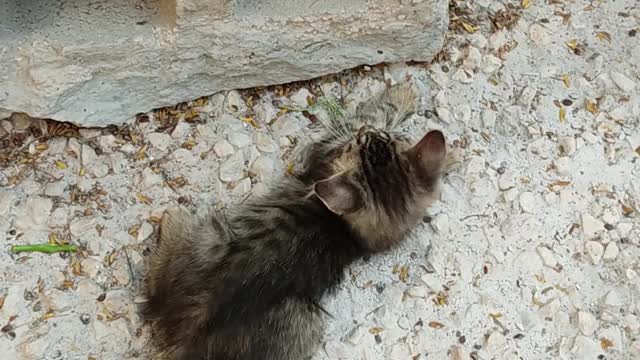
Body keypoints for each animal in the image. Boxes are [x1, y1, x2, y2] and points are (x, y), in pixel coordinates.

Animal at [142, 84, 448, 360]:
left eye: (360, 142)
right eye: (378, 139)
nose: (365, 133)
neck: (346, 231)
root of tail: (184, 333)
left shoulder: (325, 149)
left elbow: (370, 113)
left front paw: (399, 94)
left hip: (215, 238)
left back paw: (172, 216)